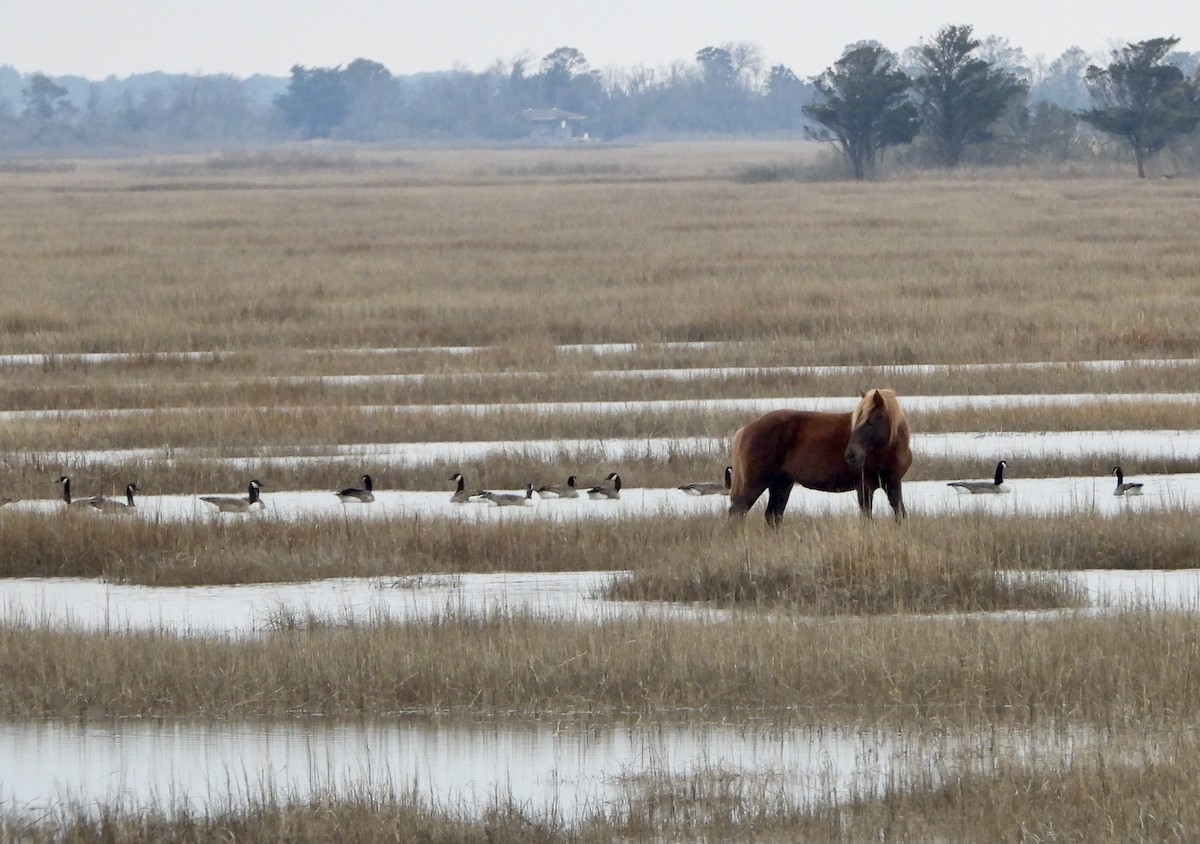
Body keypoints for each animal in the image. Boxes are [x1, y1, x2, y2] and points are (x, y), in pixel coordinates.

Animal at [724, 391, 912, 525]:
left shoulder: (893, 484)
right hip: (755, 484)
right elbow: (867, 520)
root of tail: (746, 429)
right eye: (856, 422)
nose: (851, 455)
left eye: (871, 421)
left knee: (773, 516)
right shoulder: (865, 488)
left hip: (781, 484)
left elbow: (900, 515)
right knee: (737, 513)